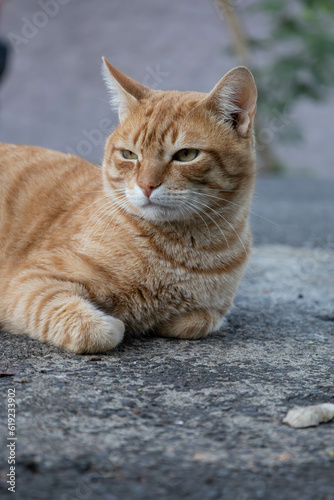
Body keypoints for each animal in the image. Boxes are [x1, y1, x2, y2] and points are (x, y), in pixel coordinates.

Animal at [0, 58, 258, 354]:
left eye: (186, 155)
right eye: (129, 155)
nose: (146, 185)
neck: (186, 252)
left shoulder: (212, 312)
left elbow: (196, 322)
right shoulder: (28, 282)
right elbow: (94, 329)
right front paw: (114, 322)